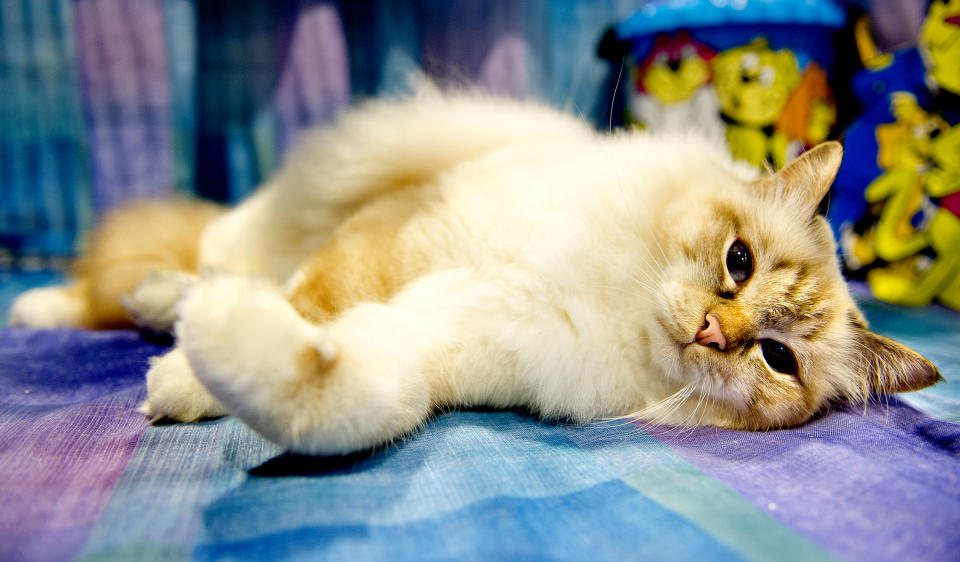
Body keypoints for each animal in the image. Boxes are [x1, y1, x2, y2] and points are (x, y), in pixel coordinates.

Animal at [7, 86, 936, 456]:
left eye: (777, 359)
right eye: (738, 263)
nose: (714, 330)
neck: (610, 304)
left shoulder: (441, 349)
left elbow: (335, 391)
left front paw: (200, 373)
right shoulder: (395, 241)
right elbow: (312, 304)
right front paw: (181, 377)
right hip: (276, 217)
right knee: (184, 268)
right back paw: (47, 306)